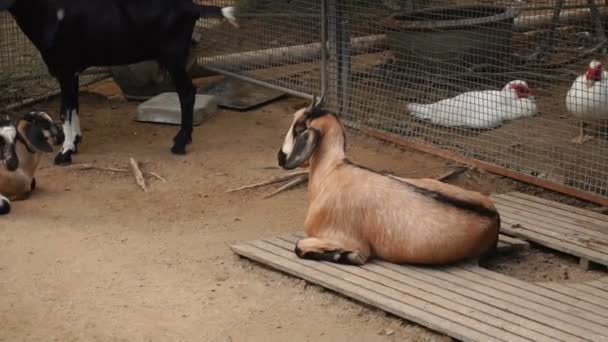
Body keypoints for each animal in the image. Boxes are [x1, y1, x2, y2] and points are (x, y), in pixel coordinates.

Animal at [0, 0, 238, 166]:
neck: (50, 10)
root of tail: (192, 7)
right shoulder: (73, 73)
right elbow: (74, 107)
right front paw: (75, 143)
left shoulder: (65, 70)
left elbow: (64, 112)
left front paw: (65, 153)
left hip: (174, 57)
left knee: (187, 92)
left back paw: (180, 143)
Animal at [278, 100, 502, 266]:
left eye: (298, 128)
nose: (280, 158)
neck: (332, 172)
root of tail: (495, 218)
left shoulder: (347, 239)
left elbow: (300, 246)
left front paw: (345, 256)